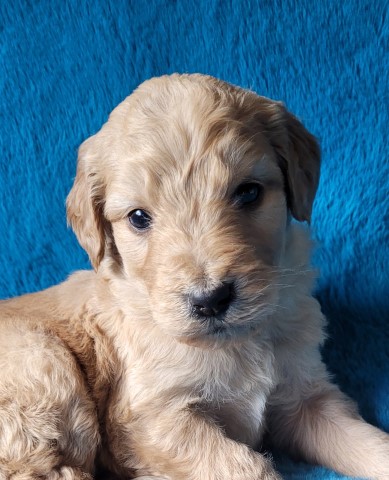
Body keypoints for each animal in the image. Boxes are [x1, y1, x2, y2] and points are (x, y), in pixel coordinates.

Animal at [0, 72, 388, 480]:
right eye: (138, 217)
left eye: (248, 192)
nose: (210, 300)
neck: (233, 345)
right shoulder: (149, 420)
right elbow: (244, 467)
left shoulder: (307, 399)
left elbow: (370, 444)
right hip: (45, 362)